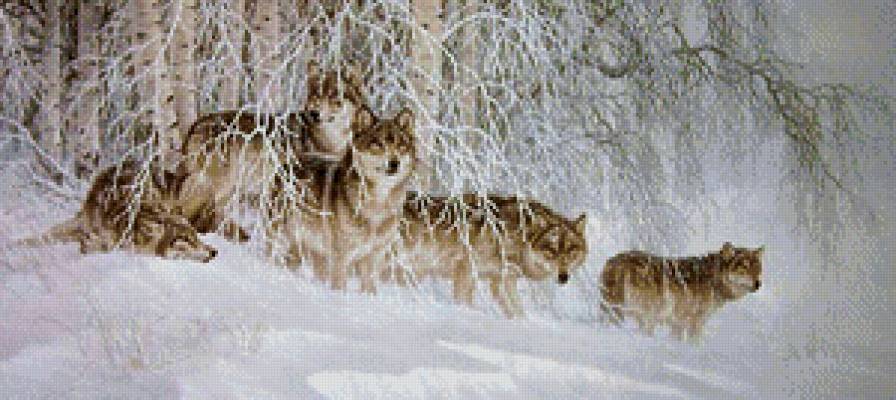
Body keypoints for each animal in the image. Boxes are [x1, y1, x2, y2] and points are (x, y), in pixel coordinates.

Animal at [177, 62, 369, 240]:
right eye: (316, 94)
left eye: (334, 96)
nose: (314, 113)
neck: (330, 141)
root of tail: (196, 124)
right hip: (213, 187)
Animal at [269, 108, 417, 294]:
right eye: (377, 144)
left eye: (401, 146)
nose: (394, 163)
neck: (377, 204)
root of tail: (290, 162)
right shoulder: (341, 257)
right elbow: (340, 286)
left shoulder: (374, 257)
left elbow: (370, 289)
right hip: (280, 237)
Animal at [399, 193, 588, 318]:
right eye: (551, 250)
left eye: (571, 251)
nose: (563, 277)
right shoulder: (466, 273)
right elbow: (463, 301)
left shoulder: (502, 281)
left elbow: (517, 311)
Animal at [600, 242, 764, 341]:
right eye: (744, 268)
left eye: (758, 269)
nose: (758, 284)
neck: (714, 282)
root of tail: (614, 263)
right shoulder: (695, 322)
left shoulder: (677, 323)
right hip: (646, 317)